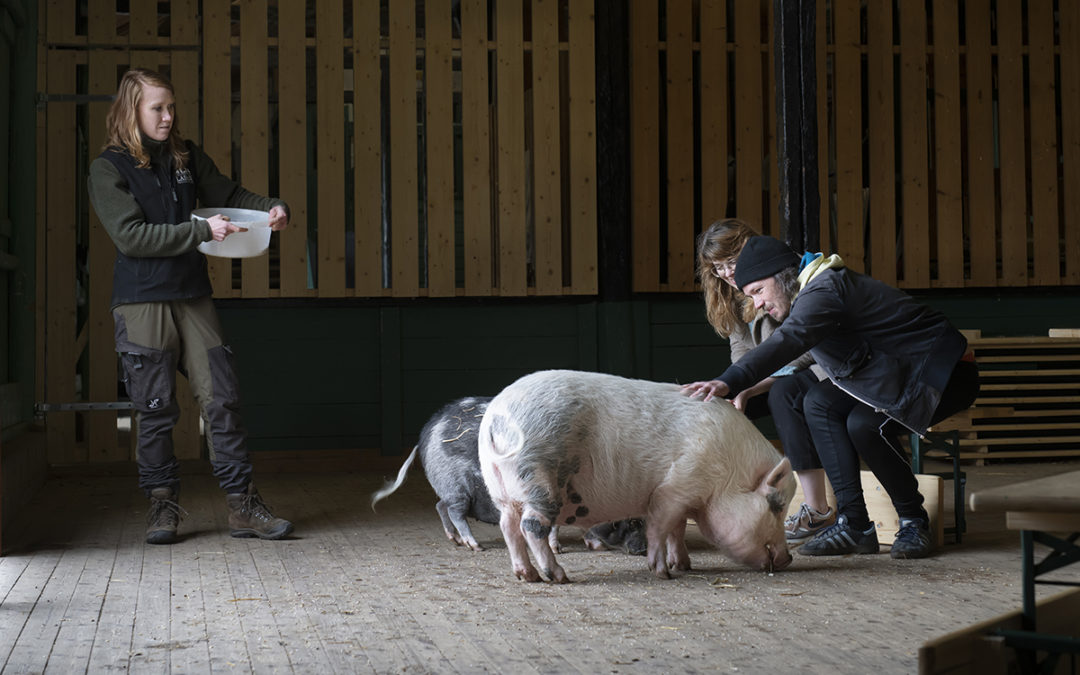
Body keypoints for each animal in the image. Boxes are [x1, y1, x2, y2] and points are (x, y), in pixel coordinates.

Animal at [479, 369, 794, 578]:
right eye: (777, 507)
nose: (789, 558)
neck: (730, 471)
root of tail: (497, 418)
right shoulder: (674, 487)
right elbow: (660, 527)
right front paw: (663, 573)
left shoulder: (686, 497)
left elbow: (677, 530)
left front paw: (684, 566)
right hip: (539, 477)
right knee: (531, 526)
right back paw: (557, 576)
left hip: (501, 489)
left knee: (508, 526)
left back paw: (526, 575)